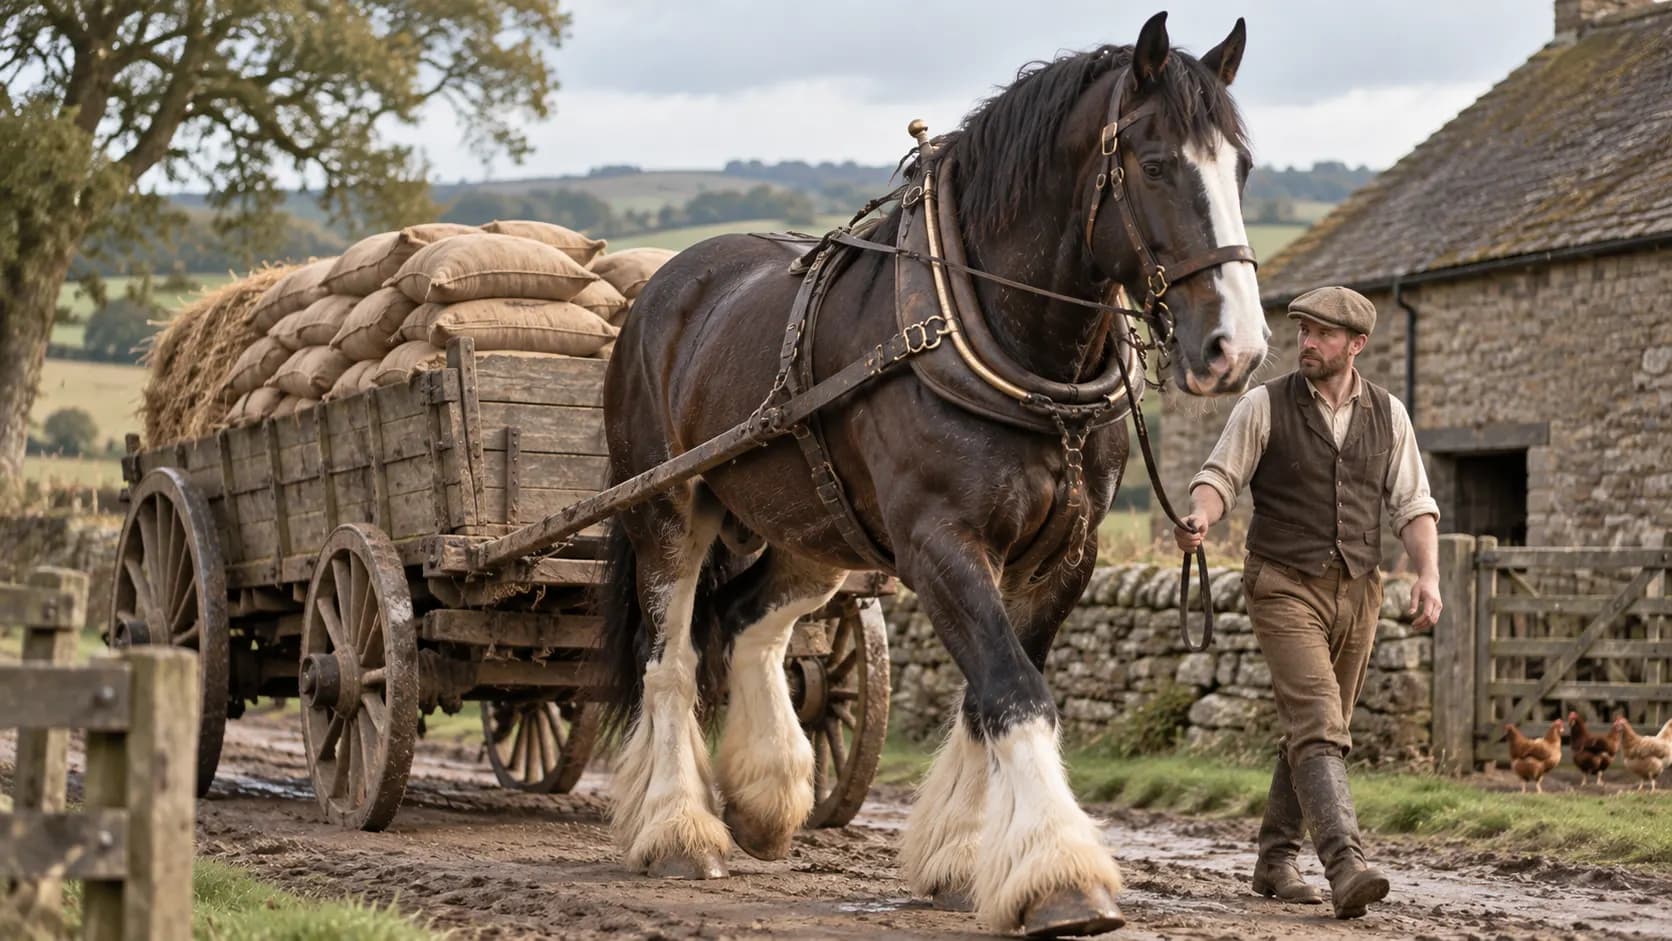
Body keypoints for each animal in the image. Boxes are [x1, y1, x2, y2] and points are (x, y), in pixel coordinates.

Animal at [596, 12, 1268, 935]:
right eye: (1158, 163)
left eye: (1241, 166)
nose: (1237, 348)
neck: (1016, 349)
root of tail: (662, 286)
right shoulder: (938, 540)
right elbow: (1014, 688)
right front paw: (1060, 872)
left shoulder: (1065, 555)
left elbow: (989, 693)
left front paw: (959, 855)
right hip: (666, 507)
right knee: (670, 659)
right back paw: (676, 830)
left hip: (811, 528)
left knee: (746, 626)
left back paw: (766, 795)